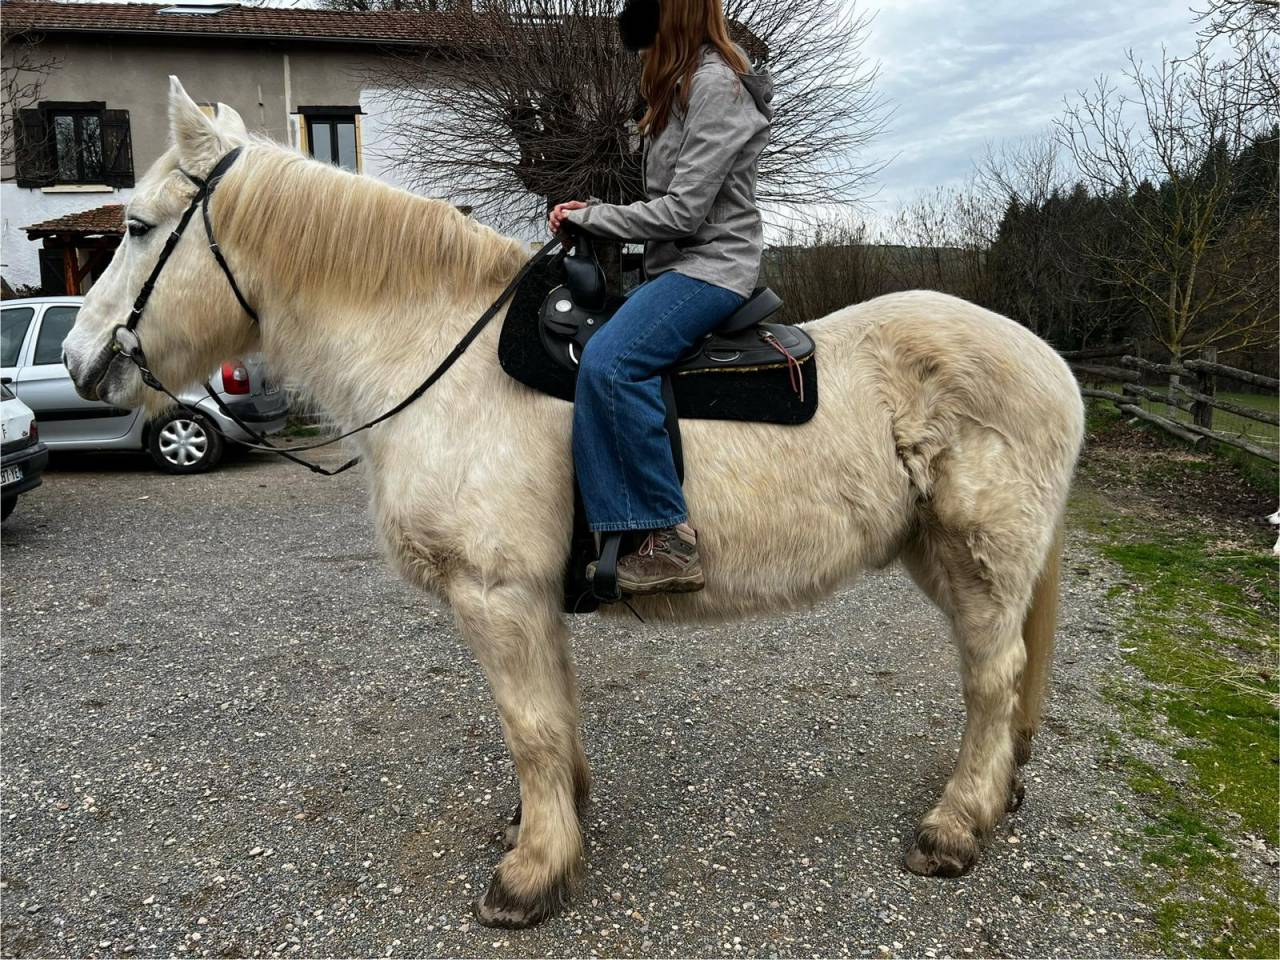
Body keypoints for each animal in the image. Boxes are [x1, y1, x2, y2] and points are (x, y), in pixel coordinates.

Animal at [63, 78, 1085, 929]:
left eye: (141, 228)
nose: (81, 359)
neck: (440, 357)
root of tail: (1049, 361)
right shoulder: (529, 600)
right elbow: (553, 719)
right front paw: (553, 825)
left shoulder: (494, 594)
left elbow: (531, 727)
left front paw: (532, 876)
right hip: (941, 556)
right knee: (999, 680)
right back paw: (997, 791)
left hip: (980, 558)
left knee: (992, 677)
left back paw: (955, 826)